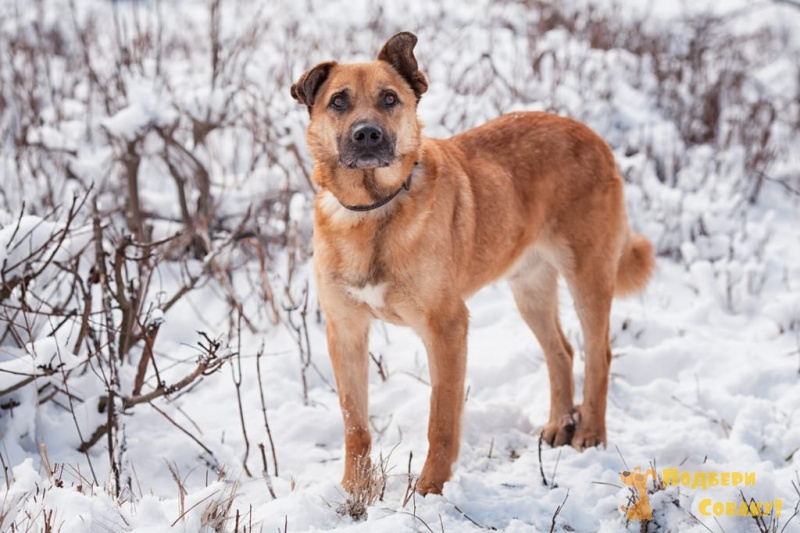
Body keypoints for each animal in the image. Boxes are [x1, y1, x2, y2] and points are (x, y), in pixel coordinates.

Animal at [290, 30, 652, 494]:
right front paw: (354, 490)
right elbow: (356, 424)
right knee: (562, 351)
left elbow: (441, 419)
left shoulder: (446, 328)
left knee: (598, 354)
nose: (367, 135)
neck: (373, 209)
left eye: (389, 99)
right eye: (339, 101)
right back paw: (560, 424)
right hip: (530, 289)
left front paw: (430, 489)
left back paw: (589, 432)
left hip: (588, 276)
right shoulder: (346, 331)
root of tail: (590, 133)